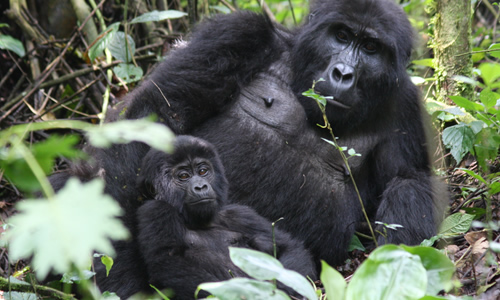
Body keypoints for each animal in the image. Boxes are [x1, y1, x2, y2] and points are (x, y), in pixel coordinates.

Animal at [136, 135, 316, 298]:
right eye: (183, 176)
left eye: (203, 171)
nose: (200, 186)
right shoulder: (156, 210)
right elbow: (168, 263)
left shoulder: (239, 214)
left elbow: (288, 247)